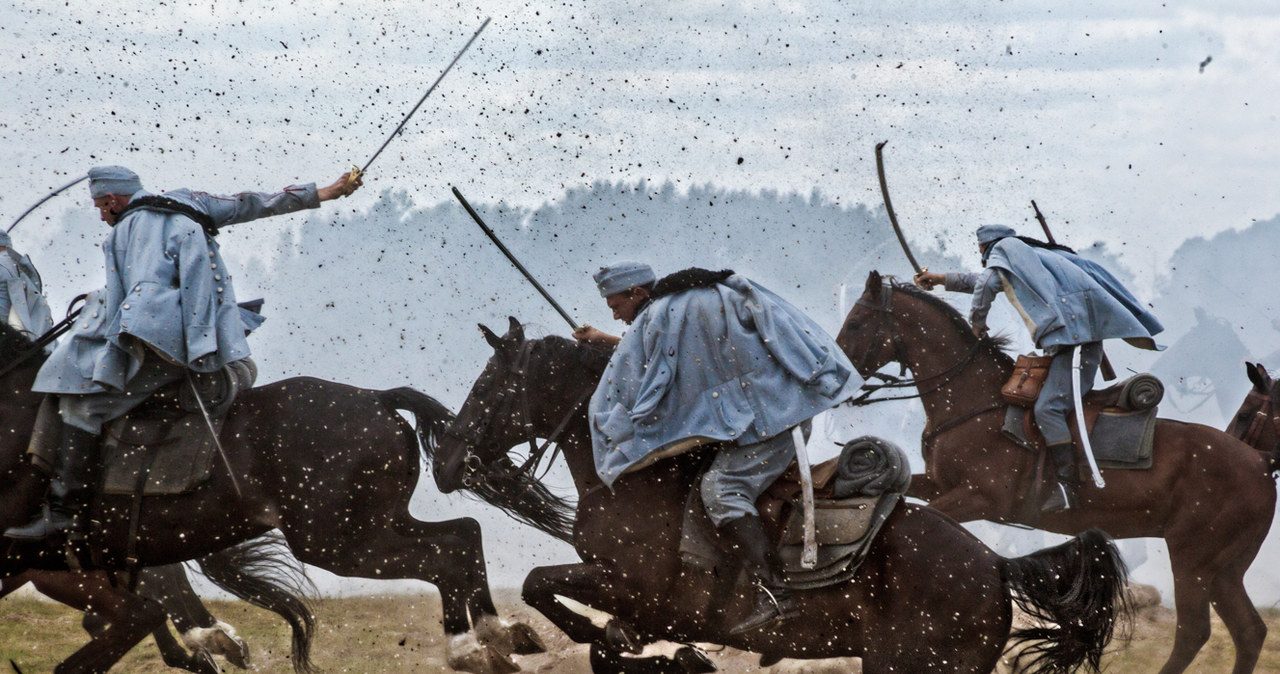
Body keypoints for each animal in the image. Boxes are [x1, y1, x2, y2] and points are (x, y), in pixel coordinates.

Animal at [1, 323, 560, 674]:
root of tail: (377, 399)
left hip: (340, 542)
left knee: (443, 553)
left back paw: (470, 647)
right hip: (372, 527)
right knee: (462, 535)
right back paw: (497, 635)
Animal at [432, 321, 1131, 674]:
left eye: (490, 385)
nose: (444, 462)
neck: (635, 479)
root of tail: (995, 566)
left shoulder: (633, 587)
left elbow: (540, 585)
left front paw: (585, 635)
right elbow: (549, 594)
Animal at [839, 269, 1280, 674]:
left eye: (856, 322)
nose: (838, 379)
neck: (976, 403)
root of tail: (1259, 461)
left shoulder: (976, 498)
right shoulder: (938, 484)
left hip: (1193, 561)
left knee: (1194, 631)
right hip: (1225, 570)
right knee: (1249, 631)